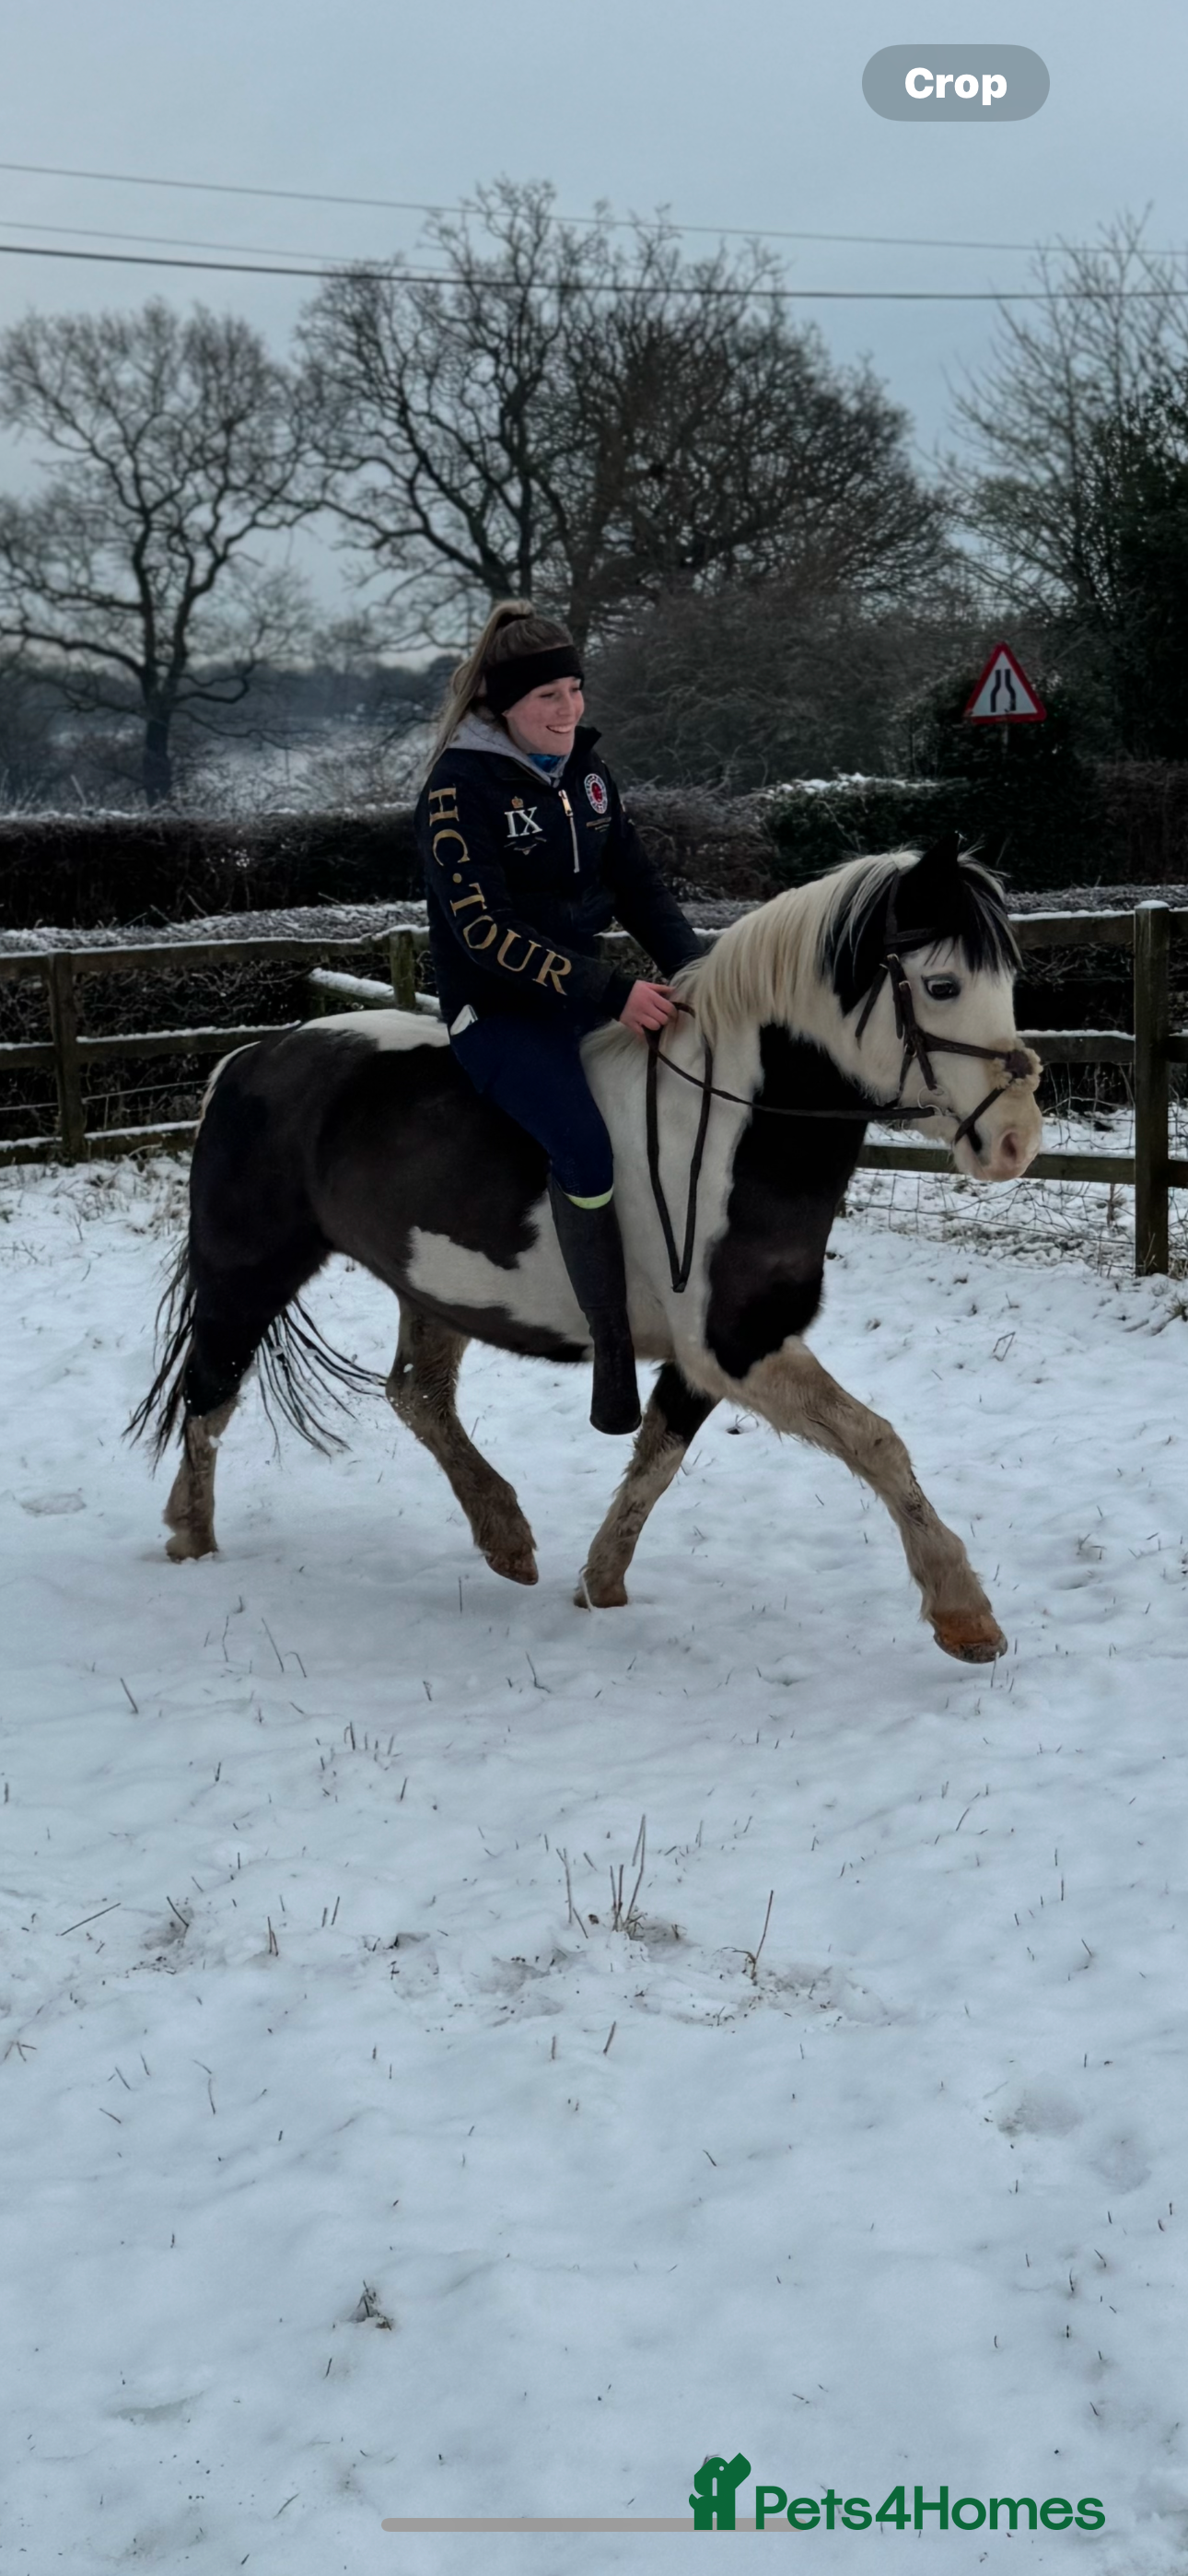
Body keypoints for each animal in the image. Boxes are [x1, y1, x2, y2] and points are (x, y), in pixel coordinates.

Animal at [133, 833, 1042, 1663]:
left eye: (1008, 982)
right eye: (943, 985)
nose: (1016, 1141)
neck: (729, 1127)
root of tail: (250, 1057)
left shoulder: (705, 1359)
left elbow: (656, 1461)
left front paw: (600, 1584)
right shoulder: (736, 1347)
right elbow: (878, 1442)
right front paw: (964, 1613)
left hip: (435, 1287)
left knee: (416, 1397)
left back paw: (503, 1534)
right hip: (247, 1272)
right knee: (209, 1395)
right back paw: (191, 1539)